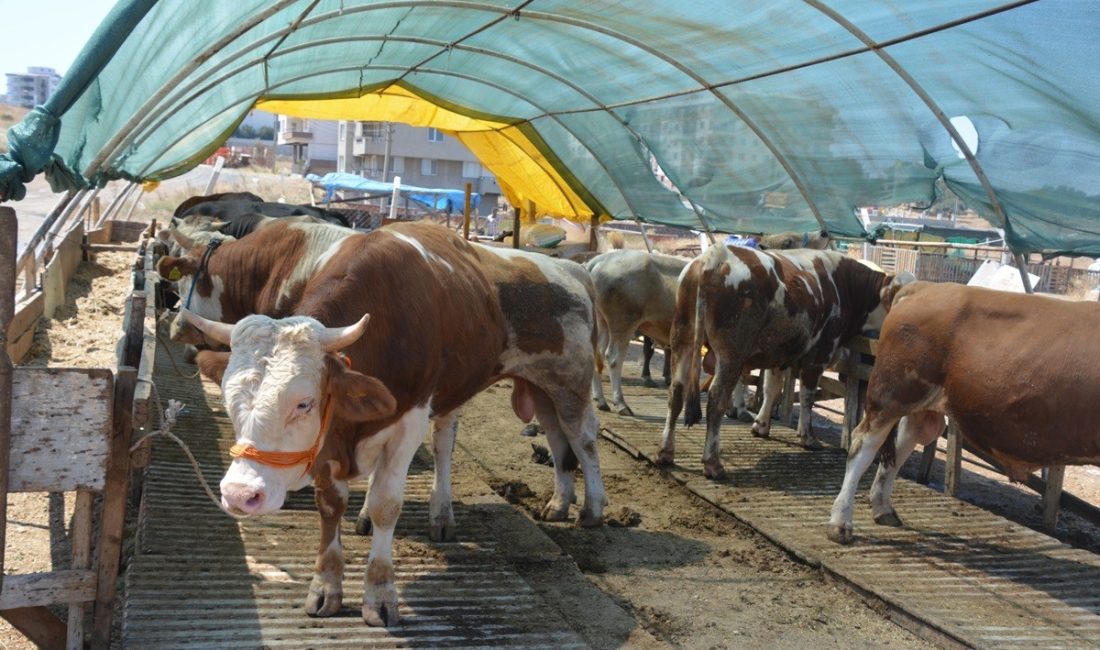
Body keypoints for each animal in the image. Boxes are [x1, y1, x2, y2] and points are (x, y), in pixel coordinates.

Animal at [169, 221, 611, 629]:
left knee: (582, 439)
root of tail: (573, 270)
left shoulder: (408, 421)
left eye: (304, 403)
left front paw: (379, 595)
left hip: (569, 381)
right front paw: (325, 588)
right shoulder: (330, 438)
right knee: (545, 438)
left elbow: (387, 504)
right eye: (230, 403)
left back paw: (591, 507)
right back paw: (550, 504)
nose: (240, 495)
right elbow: (330, 505)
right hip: (533, 389)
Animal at [827, 283, 1100, 543]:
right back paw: (840, 523)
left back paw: (883, 509)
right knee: (863, 445)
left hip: (915, 403)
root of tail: (923, 287)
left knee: (902, 445)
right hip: (890, 394)